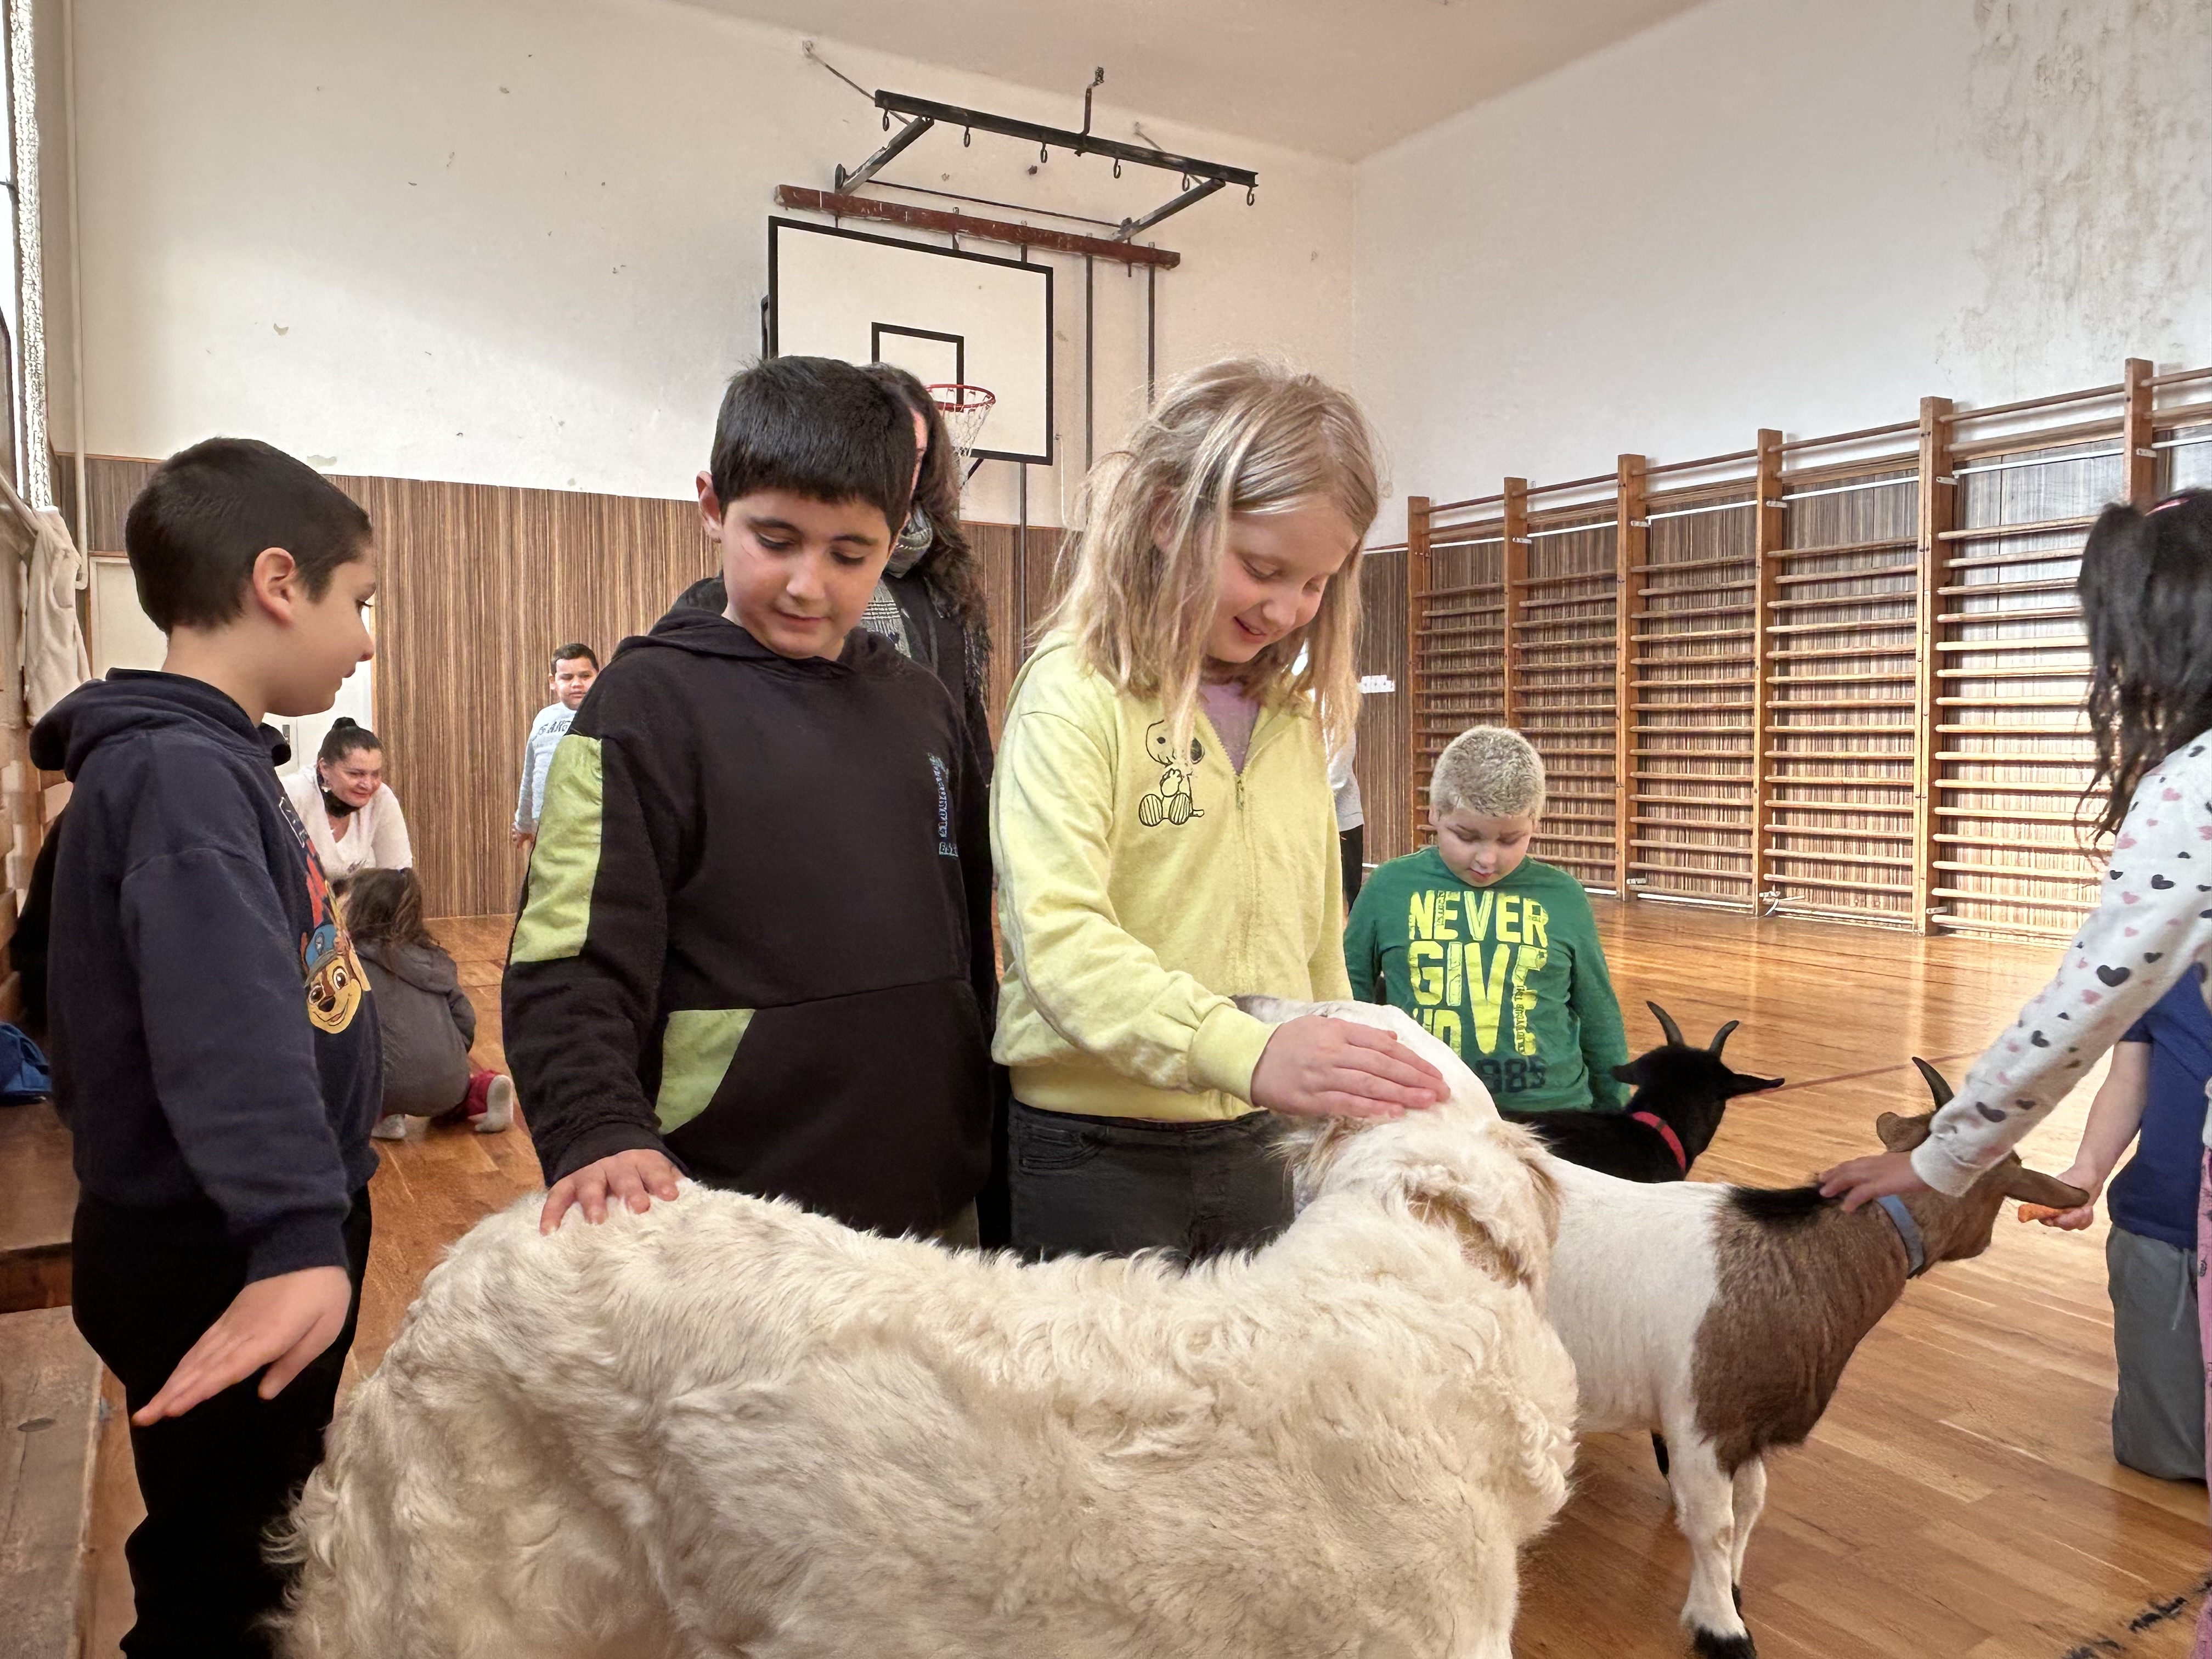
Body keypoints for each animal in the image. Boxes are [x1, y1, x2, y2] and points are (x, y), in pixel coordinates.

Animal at [1547, 1057, 2087, 1658]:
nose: (1986, 1242)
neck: (1805, 1262)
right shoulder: (1704, 1424)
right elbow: (1715, 1524)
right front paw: (1722, 1629)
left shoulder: (1752, 1420)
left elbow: (1751, 1503)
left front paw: (1733, 1591)